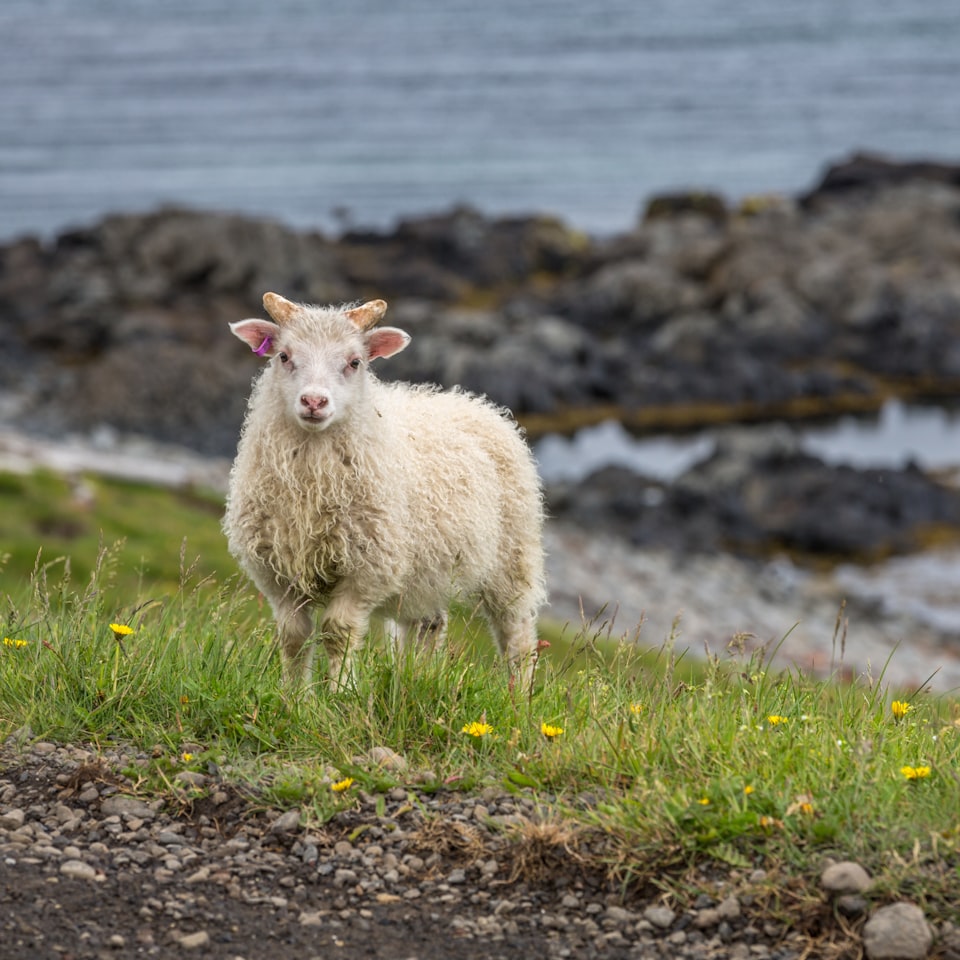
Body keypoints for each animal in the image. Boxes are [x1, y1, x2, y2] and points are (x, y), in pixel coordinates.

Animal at [223, 292, 546, 690]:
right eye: (283, 356)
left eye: (355, 362)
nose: (314, 402)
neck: (311, 489)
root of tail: (473, 402)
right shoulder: (277, 572)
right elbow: (293, 636)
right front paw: (293, 695)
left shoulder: (367, 567)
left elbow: (338, 632)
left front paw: (339, 693)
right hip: (428, 571)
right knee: (429, 624)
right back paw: (415, 680)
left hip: (512, 558)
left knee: (517, 636)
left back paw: (519, 696)